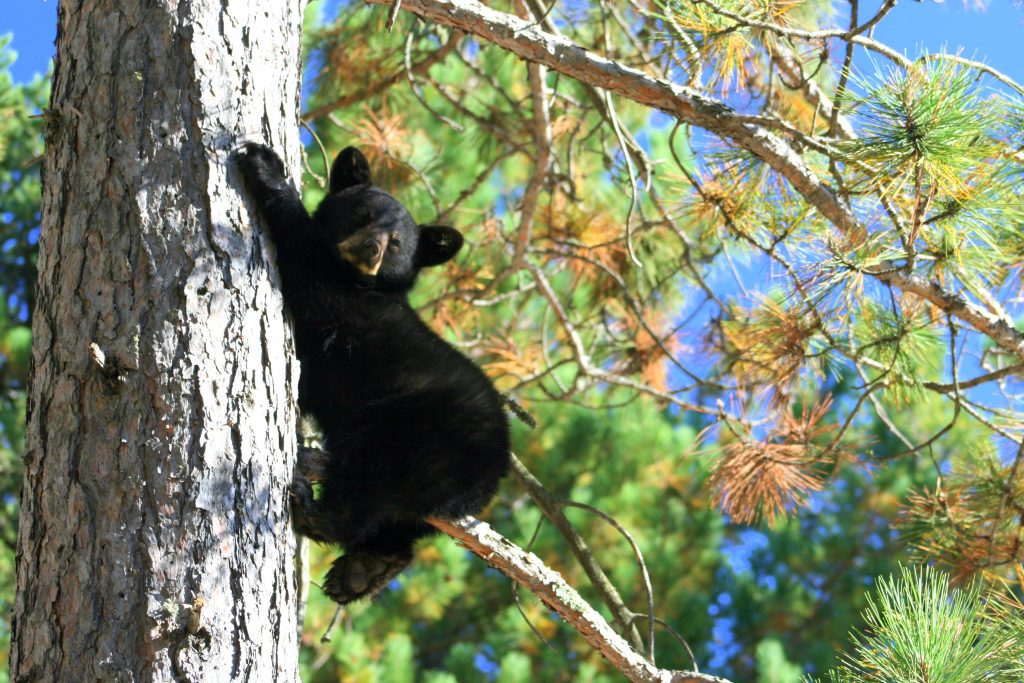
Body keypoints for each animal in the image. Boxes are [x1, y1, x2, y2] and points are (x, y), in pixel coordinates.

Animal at [236, 142, 510, 604]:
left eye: (398, 242)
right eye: (363, 214)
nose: (372, 249)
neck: (366, 284)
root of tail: (493, 468)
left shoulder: (343, 301)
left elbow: (305, 257)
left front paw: (266, 167)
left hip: (404, 431)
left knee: (365, 490)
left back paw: (314, 512)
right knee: (398, 528)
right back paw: (364, 571)